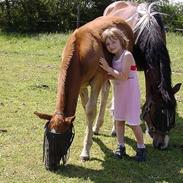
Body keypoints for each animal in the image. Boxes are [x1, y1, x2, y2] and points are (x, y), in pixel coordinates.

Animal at [34, 16, 133, 172]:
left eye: (63, 139)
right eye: (47, 136)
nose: (50, 165)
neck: (79, 51)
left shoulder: (97, 78)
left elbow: (90, 110)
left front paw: (85, 151)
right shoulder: (81, 85)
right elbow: (86, 107)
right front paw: (91, 133)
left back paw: (114, 129)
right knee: (106, 91)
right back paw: (97, 127)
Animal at [93, 1, 181, 149]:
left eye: (172, 116)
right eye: (158, 113)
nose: (161, 144)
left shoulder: (145, 69)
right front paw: (115, 126)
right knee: (106, 91)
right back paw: (98, 126)